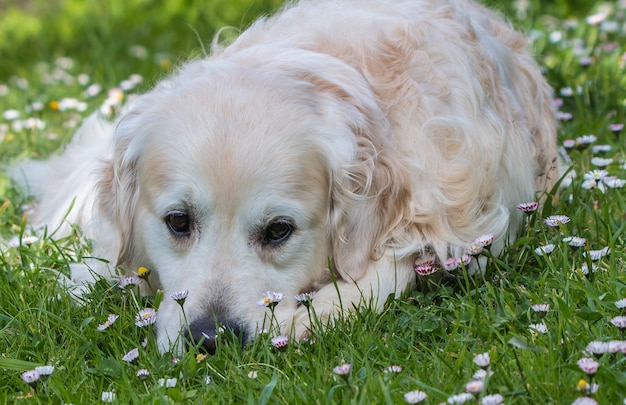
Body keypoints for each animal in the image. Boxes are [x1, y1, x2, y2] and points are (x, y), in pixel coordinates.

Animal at [9, 0, 556, 354]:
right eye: (178, 222)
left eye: (278, 231)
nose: (211, 340)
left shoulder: (472, 224)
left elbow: (390, 269)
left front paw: (306, 317)